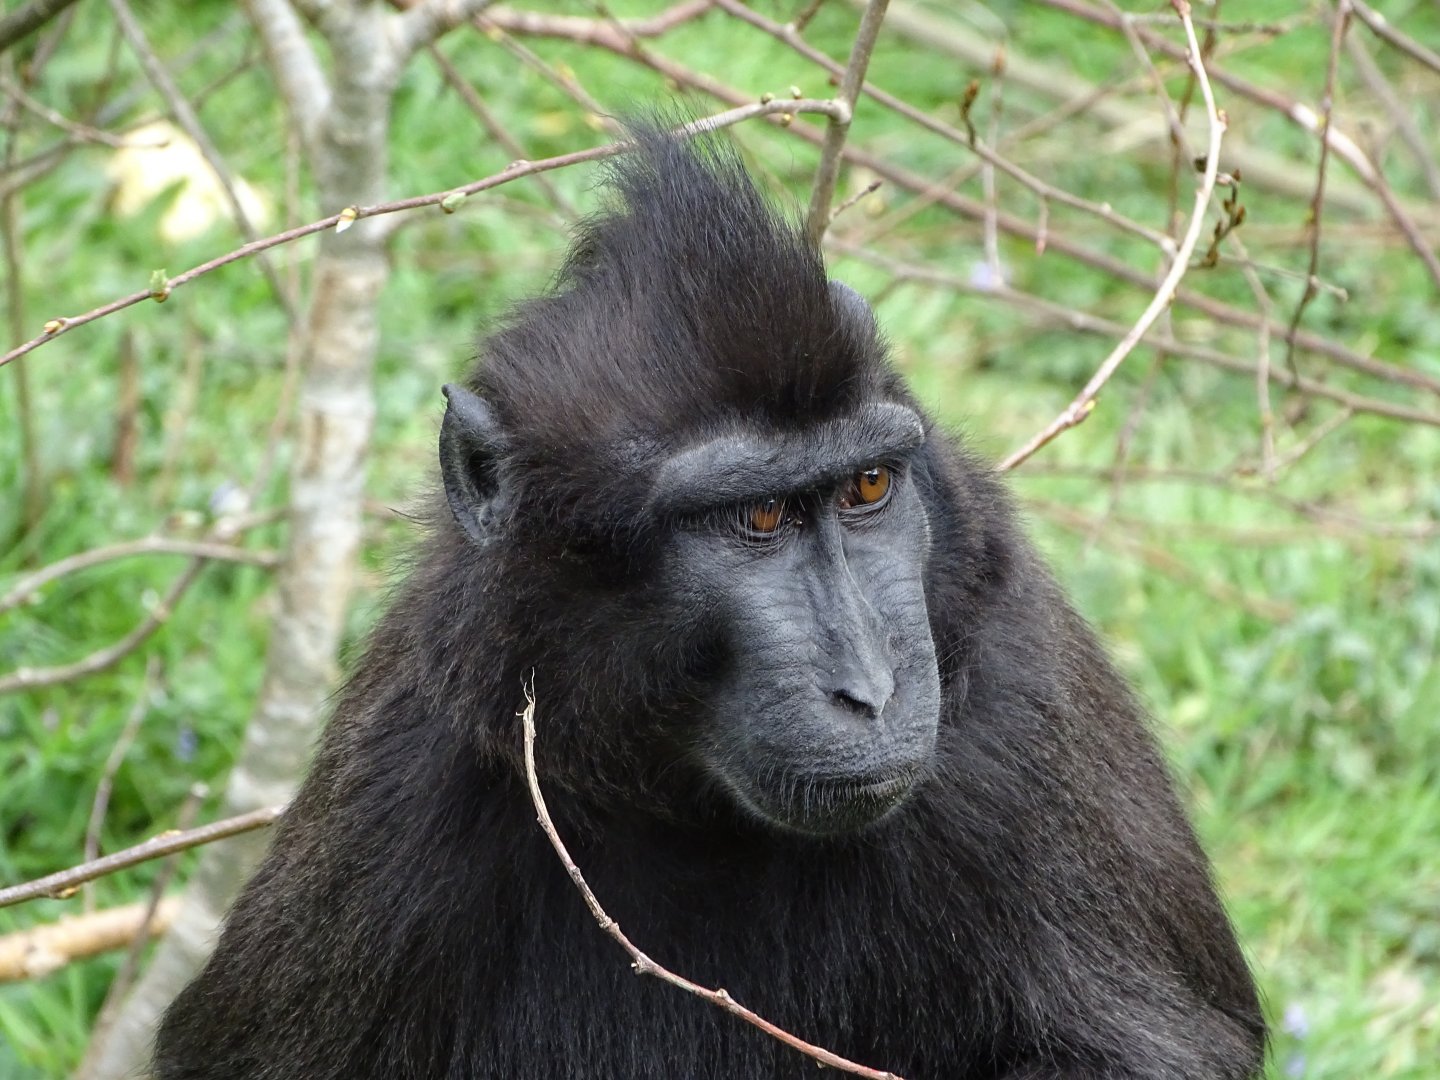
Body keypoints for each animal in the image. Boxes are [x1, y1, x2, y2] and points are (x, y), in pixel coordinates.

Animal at [153, 125, 1267, 1079]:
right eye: (759, 518)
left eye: (867, 489)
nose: (871, 690)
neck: (691, 807)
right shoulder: (410, 768)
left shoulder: (1017, 705)